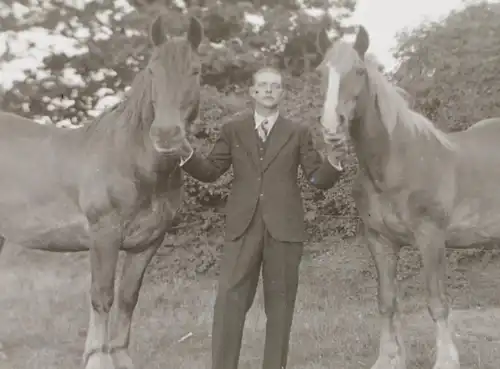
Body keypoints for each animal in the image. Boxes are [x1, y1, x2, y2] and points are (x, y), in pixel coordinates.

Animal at [0, 14, 203, 368]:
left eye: (196, 70)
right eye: (153, 70)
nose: (166, 135)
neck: (131, 160)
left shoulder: (148, 242)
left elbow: (127, 297)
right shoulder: (104, 235)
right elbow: (102, 296)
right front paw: (97, 358)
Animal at [316, 25, 500, 368]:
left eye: (359, 71)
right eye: (322, 71)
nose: (332, 127)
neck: (395, 163)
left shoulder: (430, 237)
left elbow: (437, 302)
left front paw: (446, 360)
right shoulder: (380, 241)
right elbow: (387, 301)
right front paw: (388, 358)